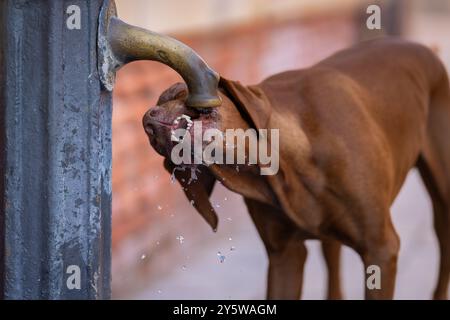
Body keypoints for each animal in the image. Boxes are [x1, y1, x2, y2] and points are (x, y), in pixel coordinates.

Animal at [143, 38, 450, 300]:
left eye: (178, 92)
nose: (147, 119)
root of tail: (423, 47)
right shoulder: (284, 257)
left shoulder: (380, 251)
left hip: (441, 198)